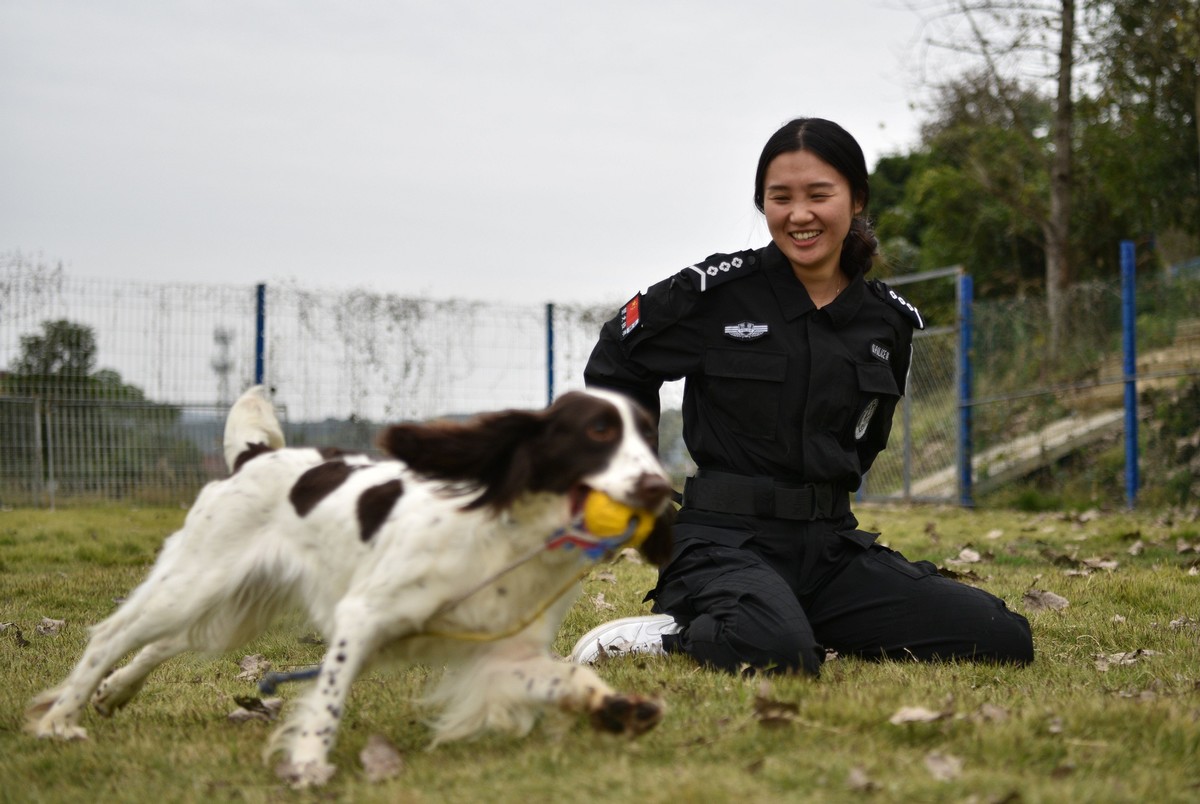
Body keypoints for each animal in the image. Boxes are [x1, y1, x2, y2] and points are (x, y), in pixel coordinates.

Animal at [25, 386, 676, 792]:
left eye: (650, 437)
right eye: (597, 431)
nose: (658, 488)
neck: (506, 534)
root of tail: (252, 457)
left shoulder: (504, 651)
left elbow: (567, 679)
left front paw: (617, 707)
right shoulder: (364, 615)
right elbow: (329, 699)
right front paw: (309, 764)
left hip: (237, 604)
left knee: (165, 644)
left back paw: (114, 694)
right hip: (194, 580)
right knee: (111, 635)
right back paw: (60, 721)